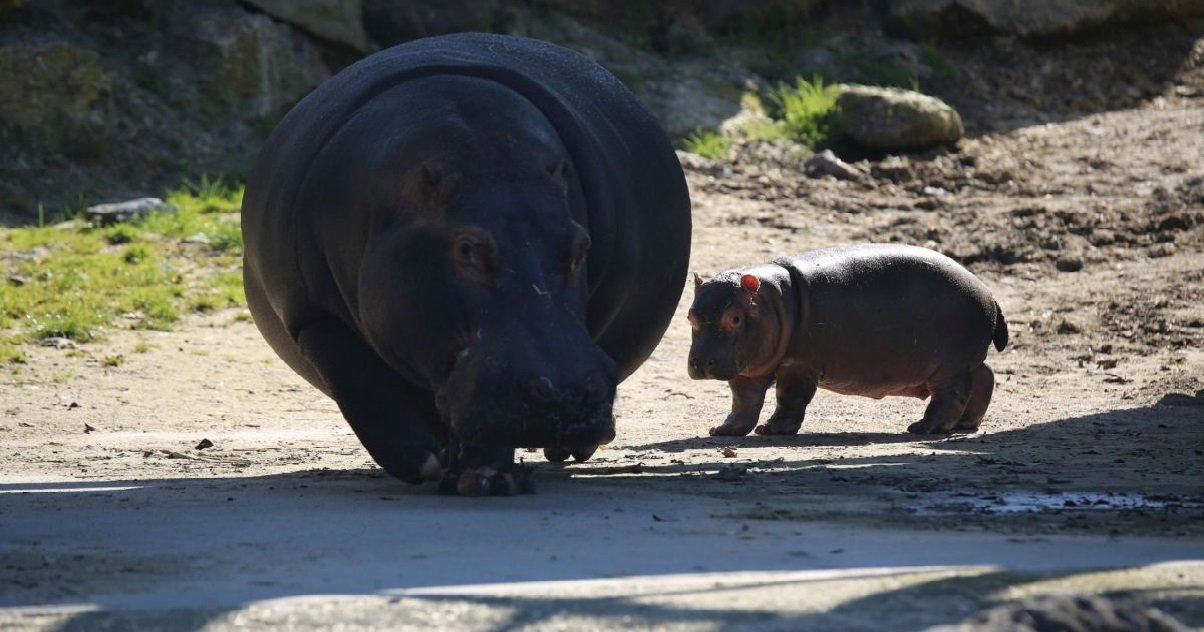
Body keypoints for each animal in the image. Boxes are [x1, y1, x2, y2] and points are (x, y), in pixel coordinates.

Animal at [243, 33, 693, 493]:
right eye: (466, 249)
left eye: (579, 245)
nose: (571, 394)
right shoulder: (310, 316)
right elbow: (360, 385)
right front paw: (425, 460)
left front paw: (486, 480)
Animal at [688, 244, 1006, 435]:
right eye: (690, 316)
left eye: (734, 318)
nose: (700, 364)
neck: (772, 301)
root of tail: (989, 294)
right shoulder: (749, 369)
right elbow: (744, 401)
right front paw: (722, 431)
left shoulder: (799, 364)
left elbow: (789, 397)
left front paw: (771, 430)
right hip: (966, 360)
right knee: (985, 377)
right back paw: (965, 425)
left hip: (950, 365)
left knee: (952, 394)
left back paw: (922, 428)